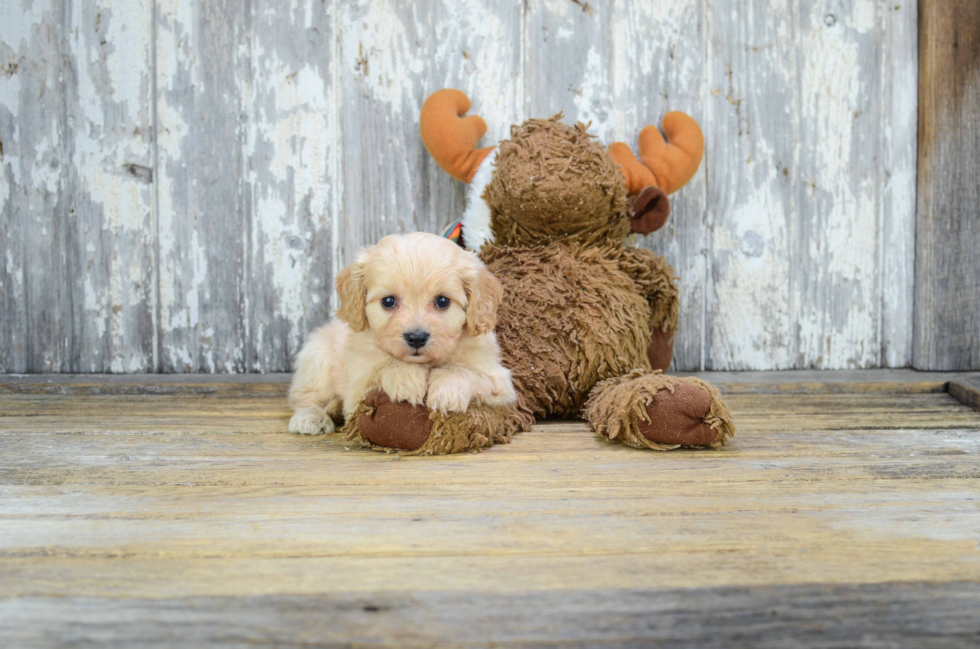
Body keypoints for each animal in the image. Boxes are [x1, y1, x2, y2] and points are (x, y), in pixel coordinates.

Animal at [288, 230, 516, 432]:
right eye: (388, 301)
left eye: (443, 301)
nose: (416, 338)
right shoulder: (356, 392)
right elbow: (384, 366)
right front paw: (406, 377)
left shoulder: (500, 382)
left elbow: (465, 371)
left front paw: (447, 391)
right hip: (317, 359)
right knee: (305, 397)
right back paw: (311, 418)